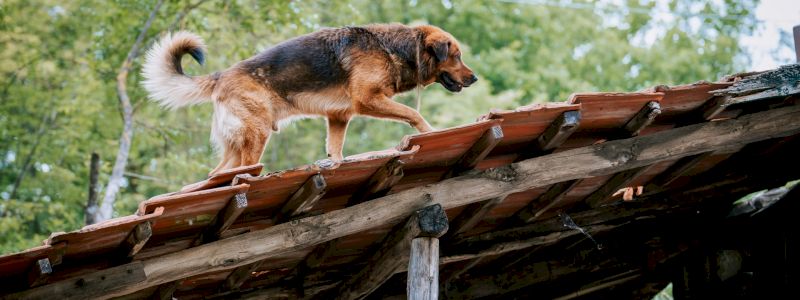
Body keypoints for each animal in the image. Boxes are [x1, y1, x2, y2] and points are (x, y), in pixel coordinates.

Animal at [142, 24, 476, 176]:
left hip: (236, 144)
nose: (474, 79)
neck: (399, 47)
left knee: (215, 174)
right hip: (256, 134)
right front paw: (430, 133)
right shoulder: (368, 100)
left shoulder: (339, 117)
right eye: (457, 56)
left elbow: (335, 149)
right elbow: (413, 113)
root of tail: (220, 75)